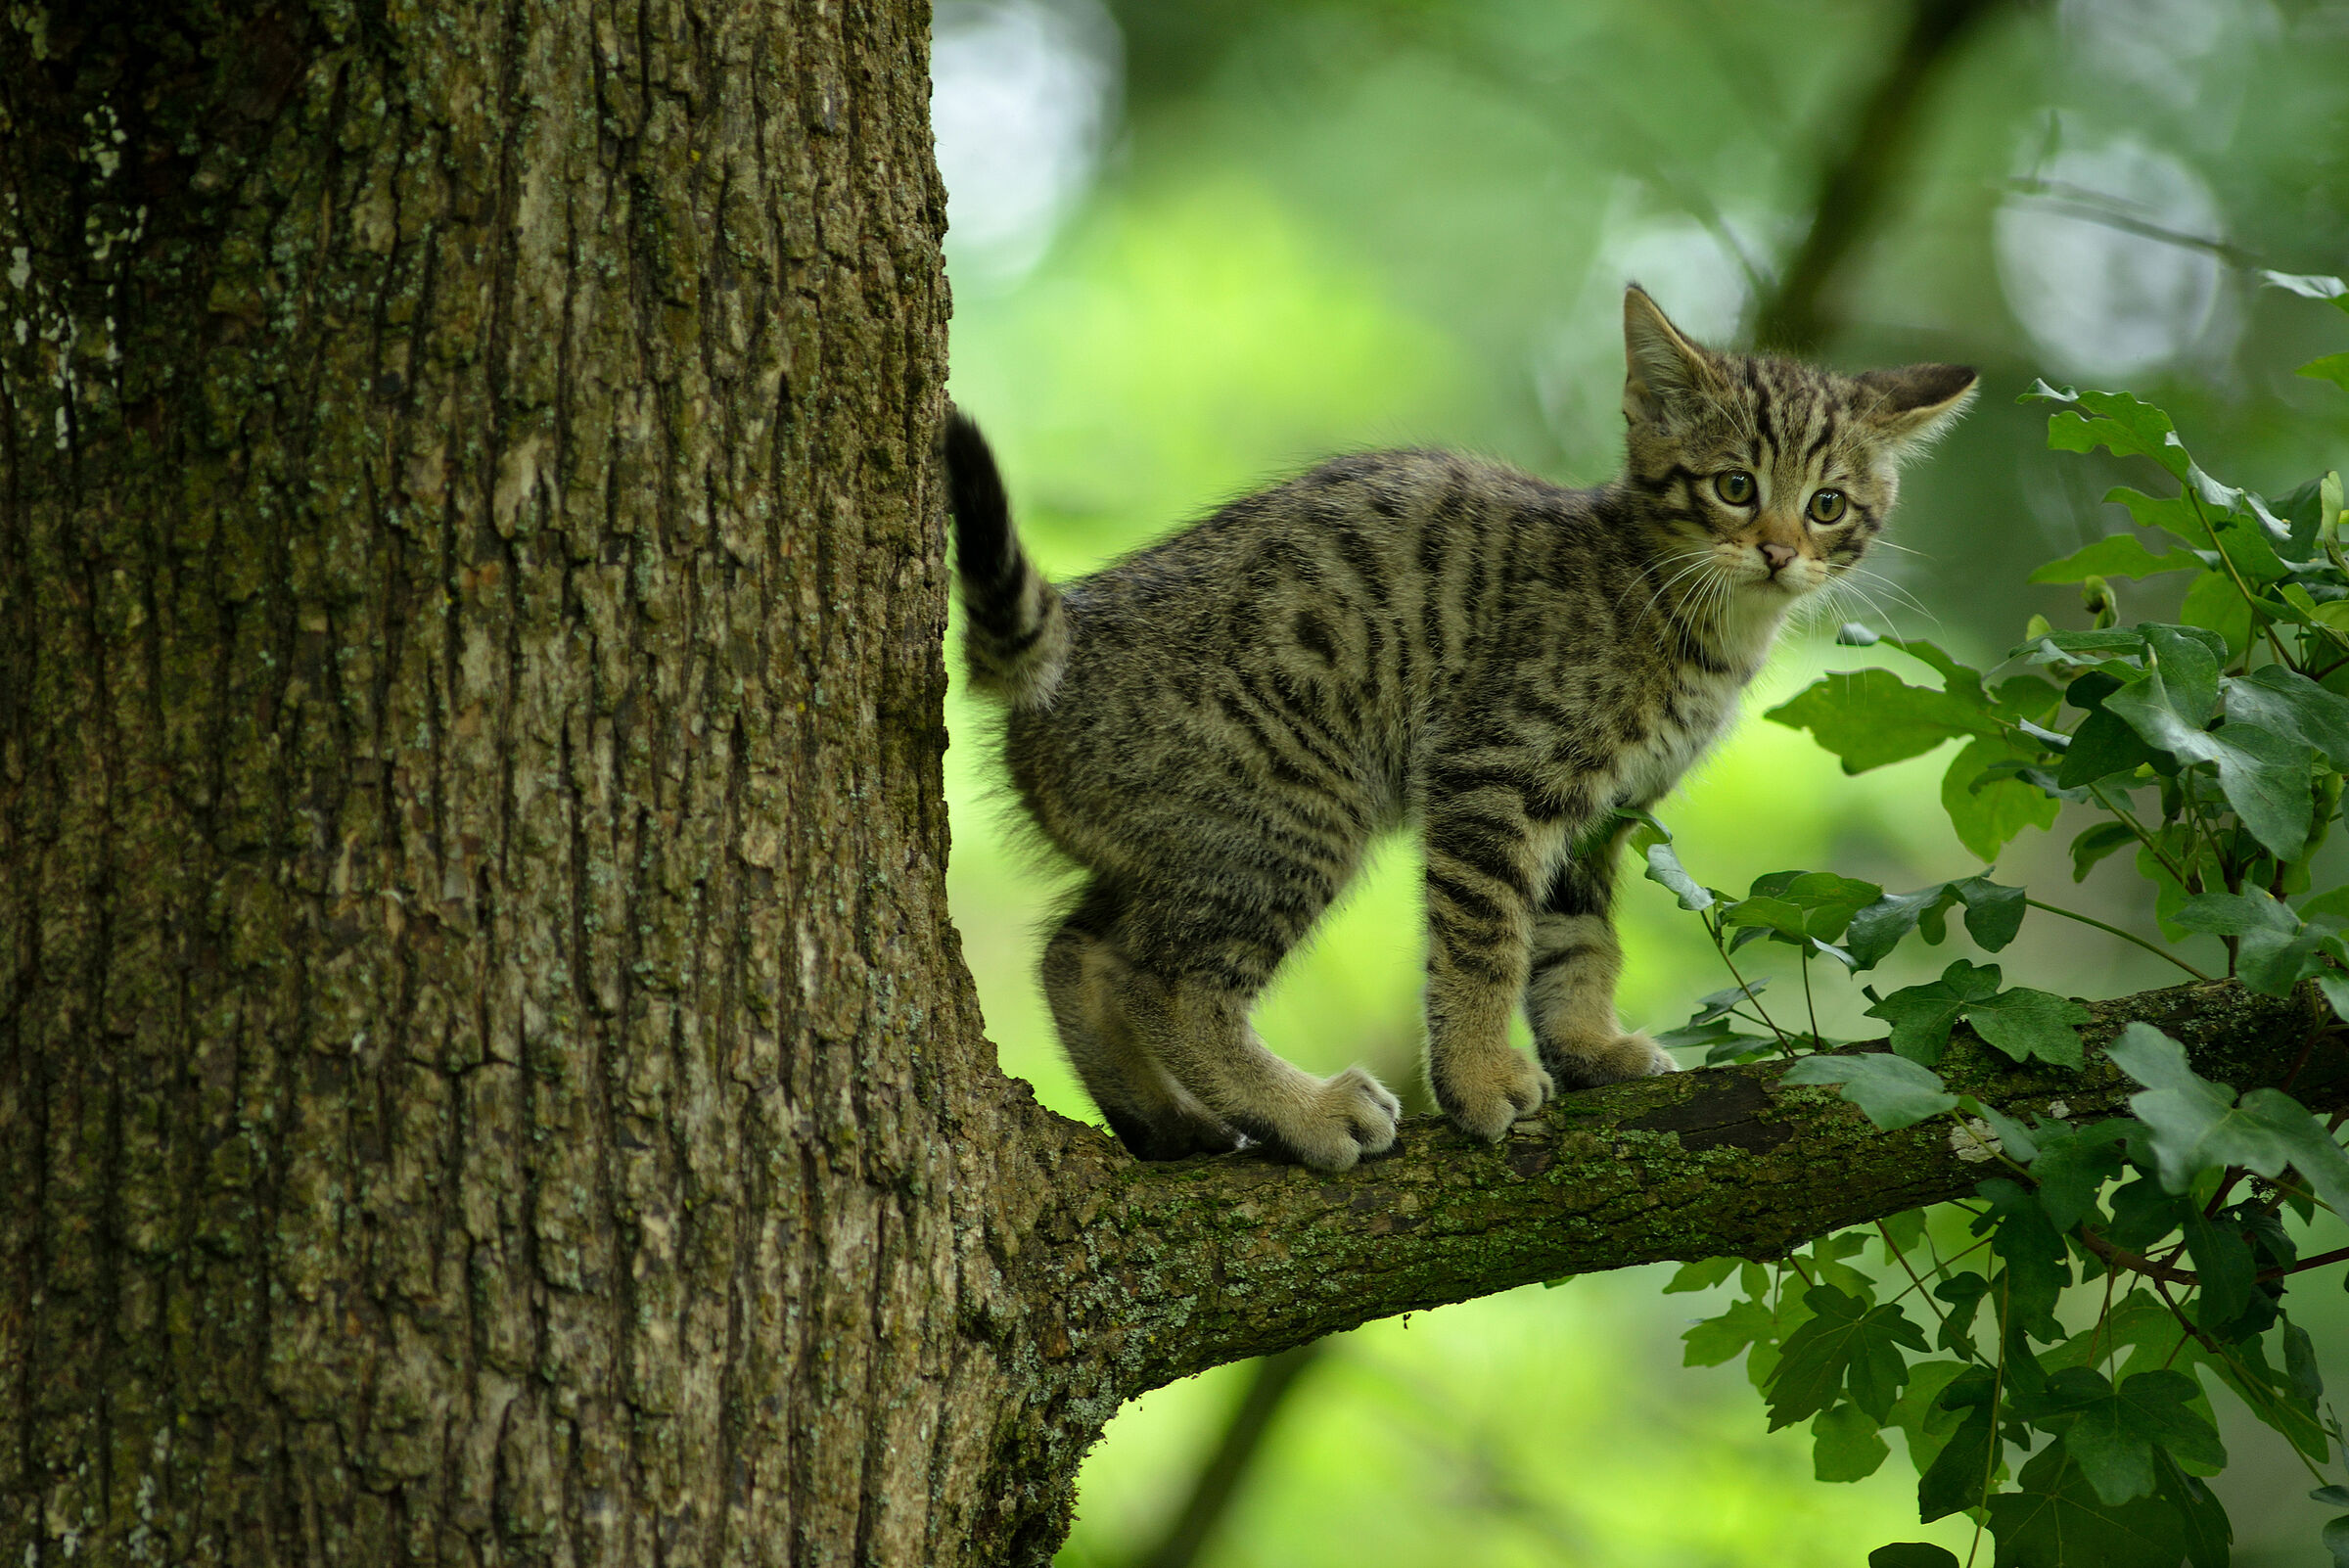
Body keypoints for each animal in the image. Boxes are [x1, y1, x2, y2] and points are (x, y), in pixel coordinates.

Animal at [944, 285, 1973, 1164]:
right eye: (1733, 486)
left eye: (1827, 505)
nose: (1778, 551)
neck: (1689, 617)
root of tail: (1077, 633)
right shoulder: (1494, 773)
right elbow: (1484, 943)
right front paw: (1478, 1080)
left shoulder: (1600, 816)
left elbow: (1579, 939)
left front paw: (1589, 1048)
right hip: (1293, 812)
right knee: (1169, 979)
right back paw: (1305, 1112)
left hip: (1187, 837)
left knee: (1079, 951)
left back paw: (1164, 1121)